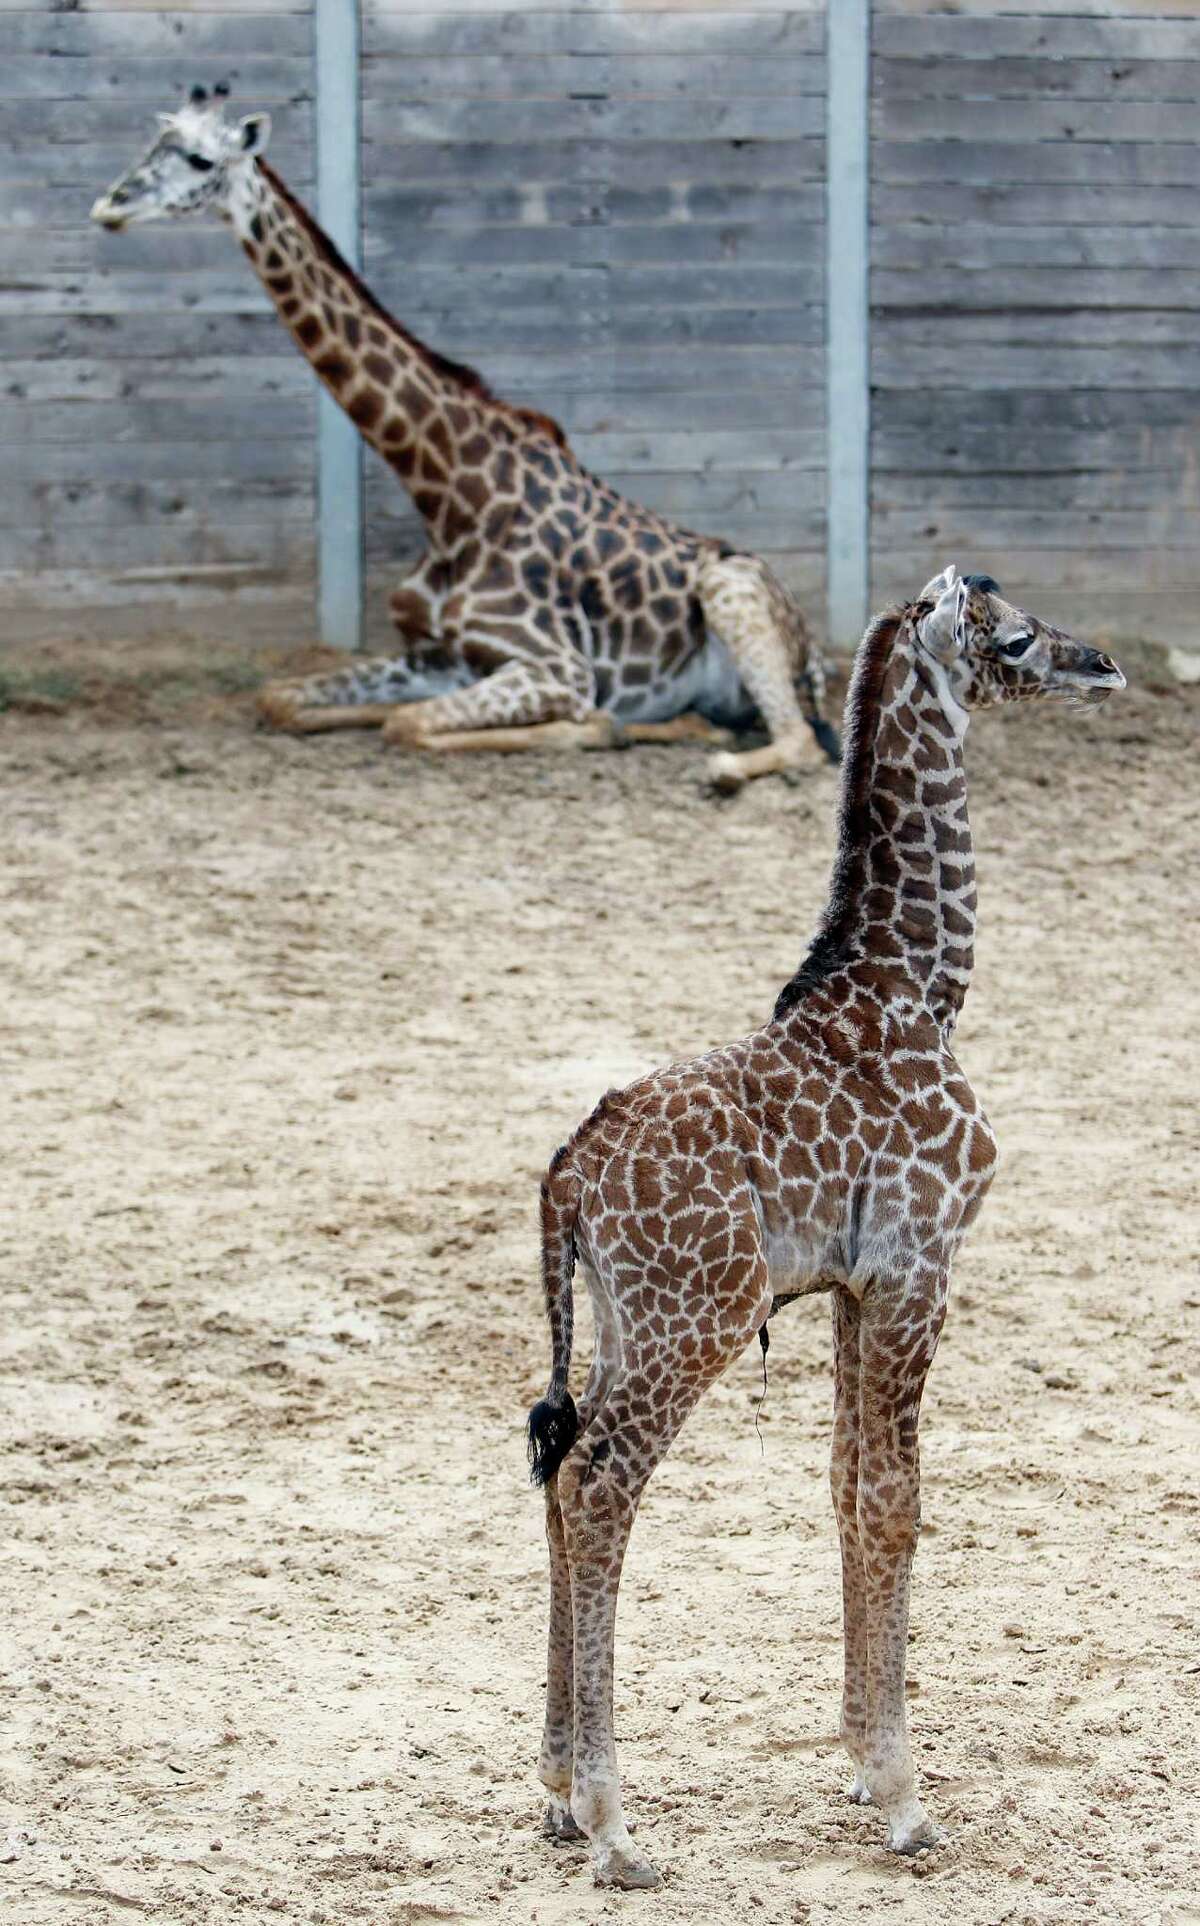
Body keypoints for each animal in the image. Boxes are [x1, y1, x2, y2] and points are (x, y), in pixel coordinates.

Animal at [523, 562, 1124, 1887]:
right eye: (1016, 638)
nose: (1102, 663)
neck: (922, 993)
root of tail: (566, 1182)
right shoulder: (918, 1267)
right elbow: (899, 1501)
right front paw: (904, 1797)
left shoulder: (854, 1287)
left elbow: (848, 1489)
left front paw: (857, 1762)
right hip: (695, 1320)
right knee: (597, 1482)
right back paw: (614, 1822)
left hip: (621, 1323)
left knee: (555, 1472)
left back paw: (551, 1791)